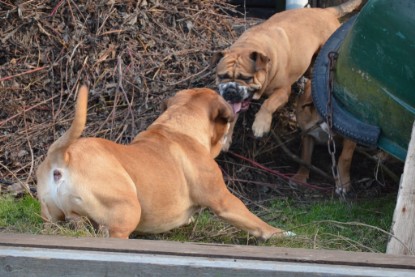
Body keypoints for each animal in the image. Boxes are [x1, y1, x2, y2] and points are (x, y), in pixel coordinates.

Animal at [36, 85, 292, 237]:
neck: (177, 126)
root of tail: (64, 156)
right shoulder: (224, 201)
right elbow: (253, 219)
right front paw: (278, 232)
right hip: (127, 211)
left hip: (51, 217)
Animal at [213, 0, 362, 150]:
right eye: (221, 76)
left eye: (246, 78)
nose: (231, 90)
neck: (250, 46)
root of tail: (325, 11)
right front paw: (226, 138)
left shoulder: (283, 91)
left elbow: (268, 103)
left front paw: (261, 124)